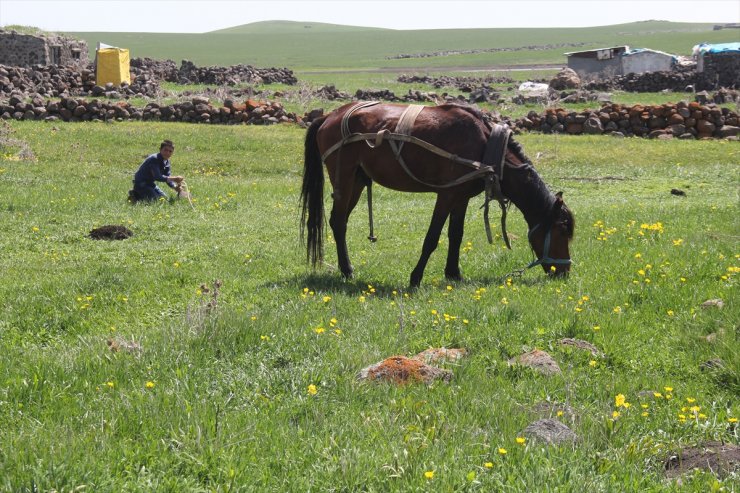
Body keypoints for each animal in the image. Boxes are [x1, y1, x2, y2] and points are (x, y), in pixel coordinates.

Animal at [300, 102, 572, 286]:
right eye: (561, 230)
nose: (564, 272)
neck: (485, 146)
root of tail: (329, 116)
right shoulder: (447, 195)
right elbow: (432, 238)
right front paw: (415, 278)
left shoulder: (462, 197)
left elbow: (456, 235)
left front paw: (454, 273)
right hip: (344, 179)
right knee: (338, 221)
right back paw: (347, 270)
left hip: (356, 181)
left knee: (339, 221)